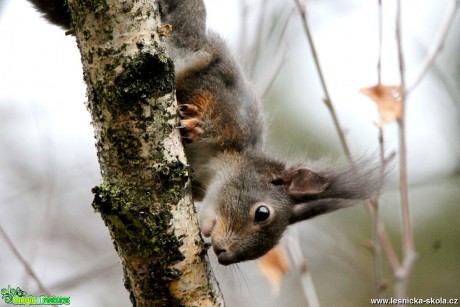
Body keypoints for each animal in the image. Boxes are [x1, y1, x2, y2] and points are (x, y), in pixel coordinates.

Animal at [27, 0, 382, 264]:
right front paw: (194, 123)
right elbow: (198, 80)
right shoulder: (220, 89)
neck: (215, 164)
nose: (224, 255)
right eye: (262, 213)